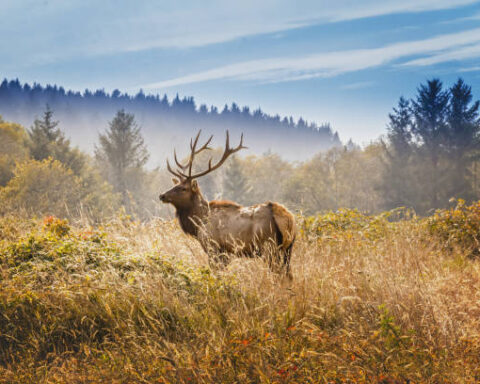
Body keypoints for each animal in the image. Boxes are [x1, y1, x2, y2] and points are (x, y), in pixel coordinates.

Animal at [160, 130, 296, 278]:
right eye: (175, 185)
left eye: (183, 188)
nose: (162, 195)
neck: (199, 223)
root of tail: (287, 218)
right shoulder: (227, 252)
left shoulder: (213, 246)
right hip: (287, 249)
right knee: (289, 276)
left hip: (269, 246)